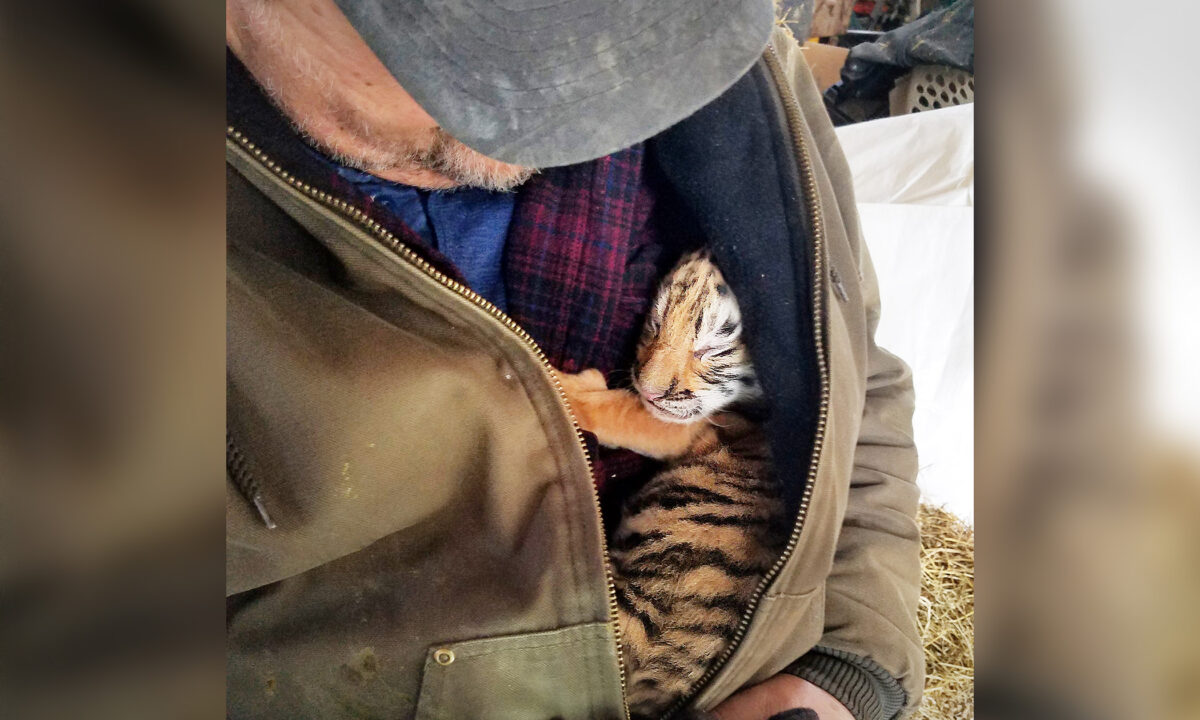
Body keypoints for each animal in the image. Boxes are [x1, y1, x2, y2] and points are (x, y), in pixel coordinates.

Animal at [558, 249, 787, 719]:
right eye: (654, 322)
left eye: (715, 349)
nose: (647, 388)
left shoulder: (679, 424)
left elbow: (620, 411)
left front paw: (566, 383)